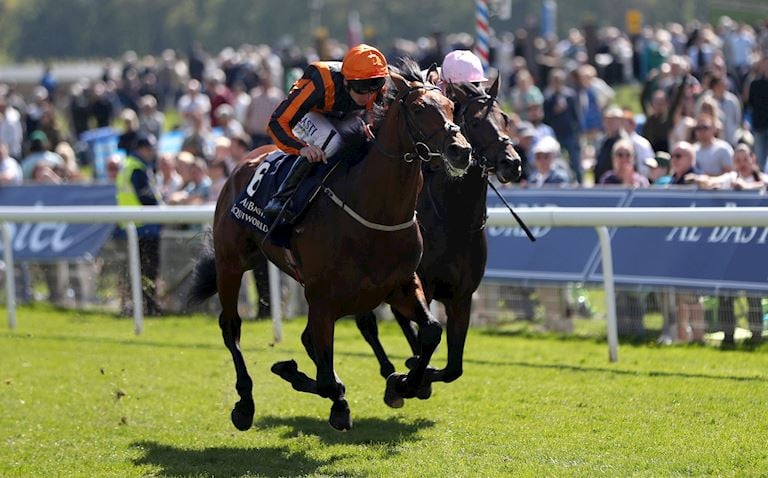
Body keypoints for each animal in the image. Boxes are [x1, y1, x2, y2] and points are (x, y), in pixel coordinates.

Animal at [354, 76, 520, 392]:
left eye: (505, 118)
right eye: (476, 122)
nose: (512, 163)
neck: (455, 222)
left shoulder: (461, 297)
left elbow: (453, 367)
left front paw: (419, 375)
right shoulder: (424, 285)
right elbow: (424, 336)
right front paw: (411, 375)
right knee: (366, 321)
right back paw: (389, 367)